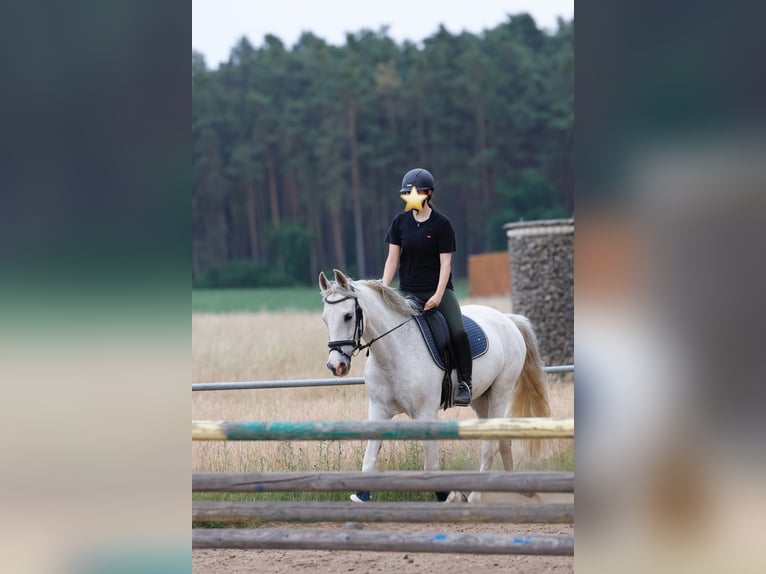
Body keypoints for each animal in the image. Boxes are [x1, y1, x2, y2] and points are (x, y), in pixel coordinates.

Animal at [318, 269, 551, 503]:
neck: (394, 350)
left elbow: (430, 464)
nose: (336, 366)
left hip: (500, 392)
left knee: (491, 444)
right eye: (325, 319)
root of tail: (508, 320)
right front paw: (362, 495)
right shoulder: (379, 410)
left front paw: (449, 495)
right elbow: (369, 459)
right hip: (481, 398)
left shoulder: (425, 413)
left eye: (348, 316)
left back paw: (475, 497)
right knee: (502, 439)